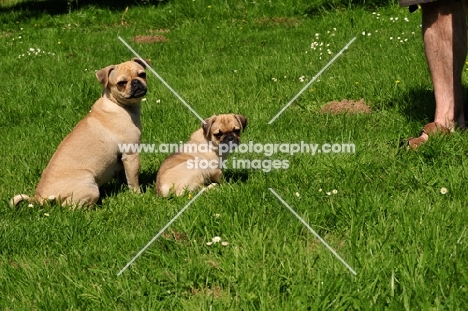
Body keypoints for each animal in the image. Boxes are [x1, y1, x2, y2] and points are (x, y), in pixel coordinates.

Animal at [11, 58, 148, 210]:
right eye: (121, 83)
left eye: (142, 74)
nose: (136, 82)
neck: (118, 104)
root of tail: (40, 198)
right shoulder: (131, 155)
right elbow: (133, 179)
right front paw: (137, 195)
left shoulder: (122, 160)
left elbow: (124, 177)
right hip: (90, 186)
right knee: (70, 207)